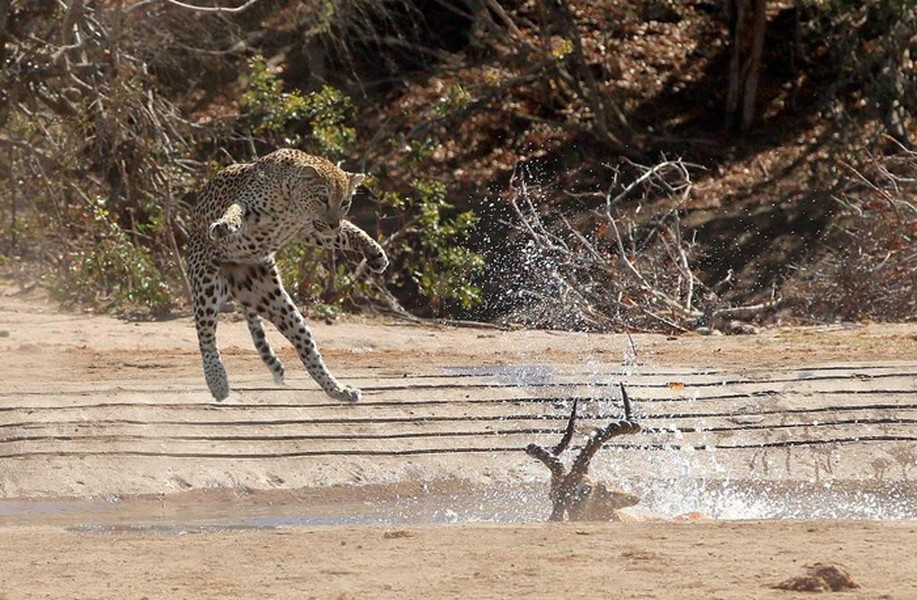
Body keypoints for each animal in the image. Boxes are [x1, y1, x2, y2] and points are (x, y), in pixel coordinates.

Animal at [184, 148, 388, 406]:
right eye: (323, 198)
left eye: (344, 202)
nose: (333, 222)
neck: (293, 206)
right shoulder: (249, 204)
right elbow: (235, 212)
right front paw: (224, 226)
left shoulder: (310, 229)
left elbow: (349, 231)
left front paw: (375, 252)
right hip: (207, 283)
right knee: (206, 335)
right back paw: (217, 382)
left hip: (268, 295)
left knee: (306, 346)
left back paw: (338, 389)